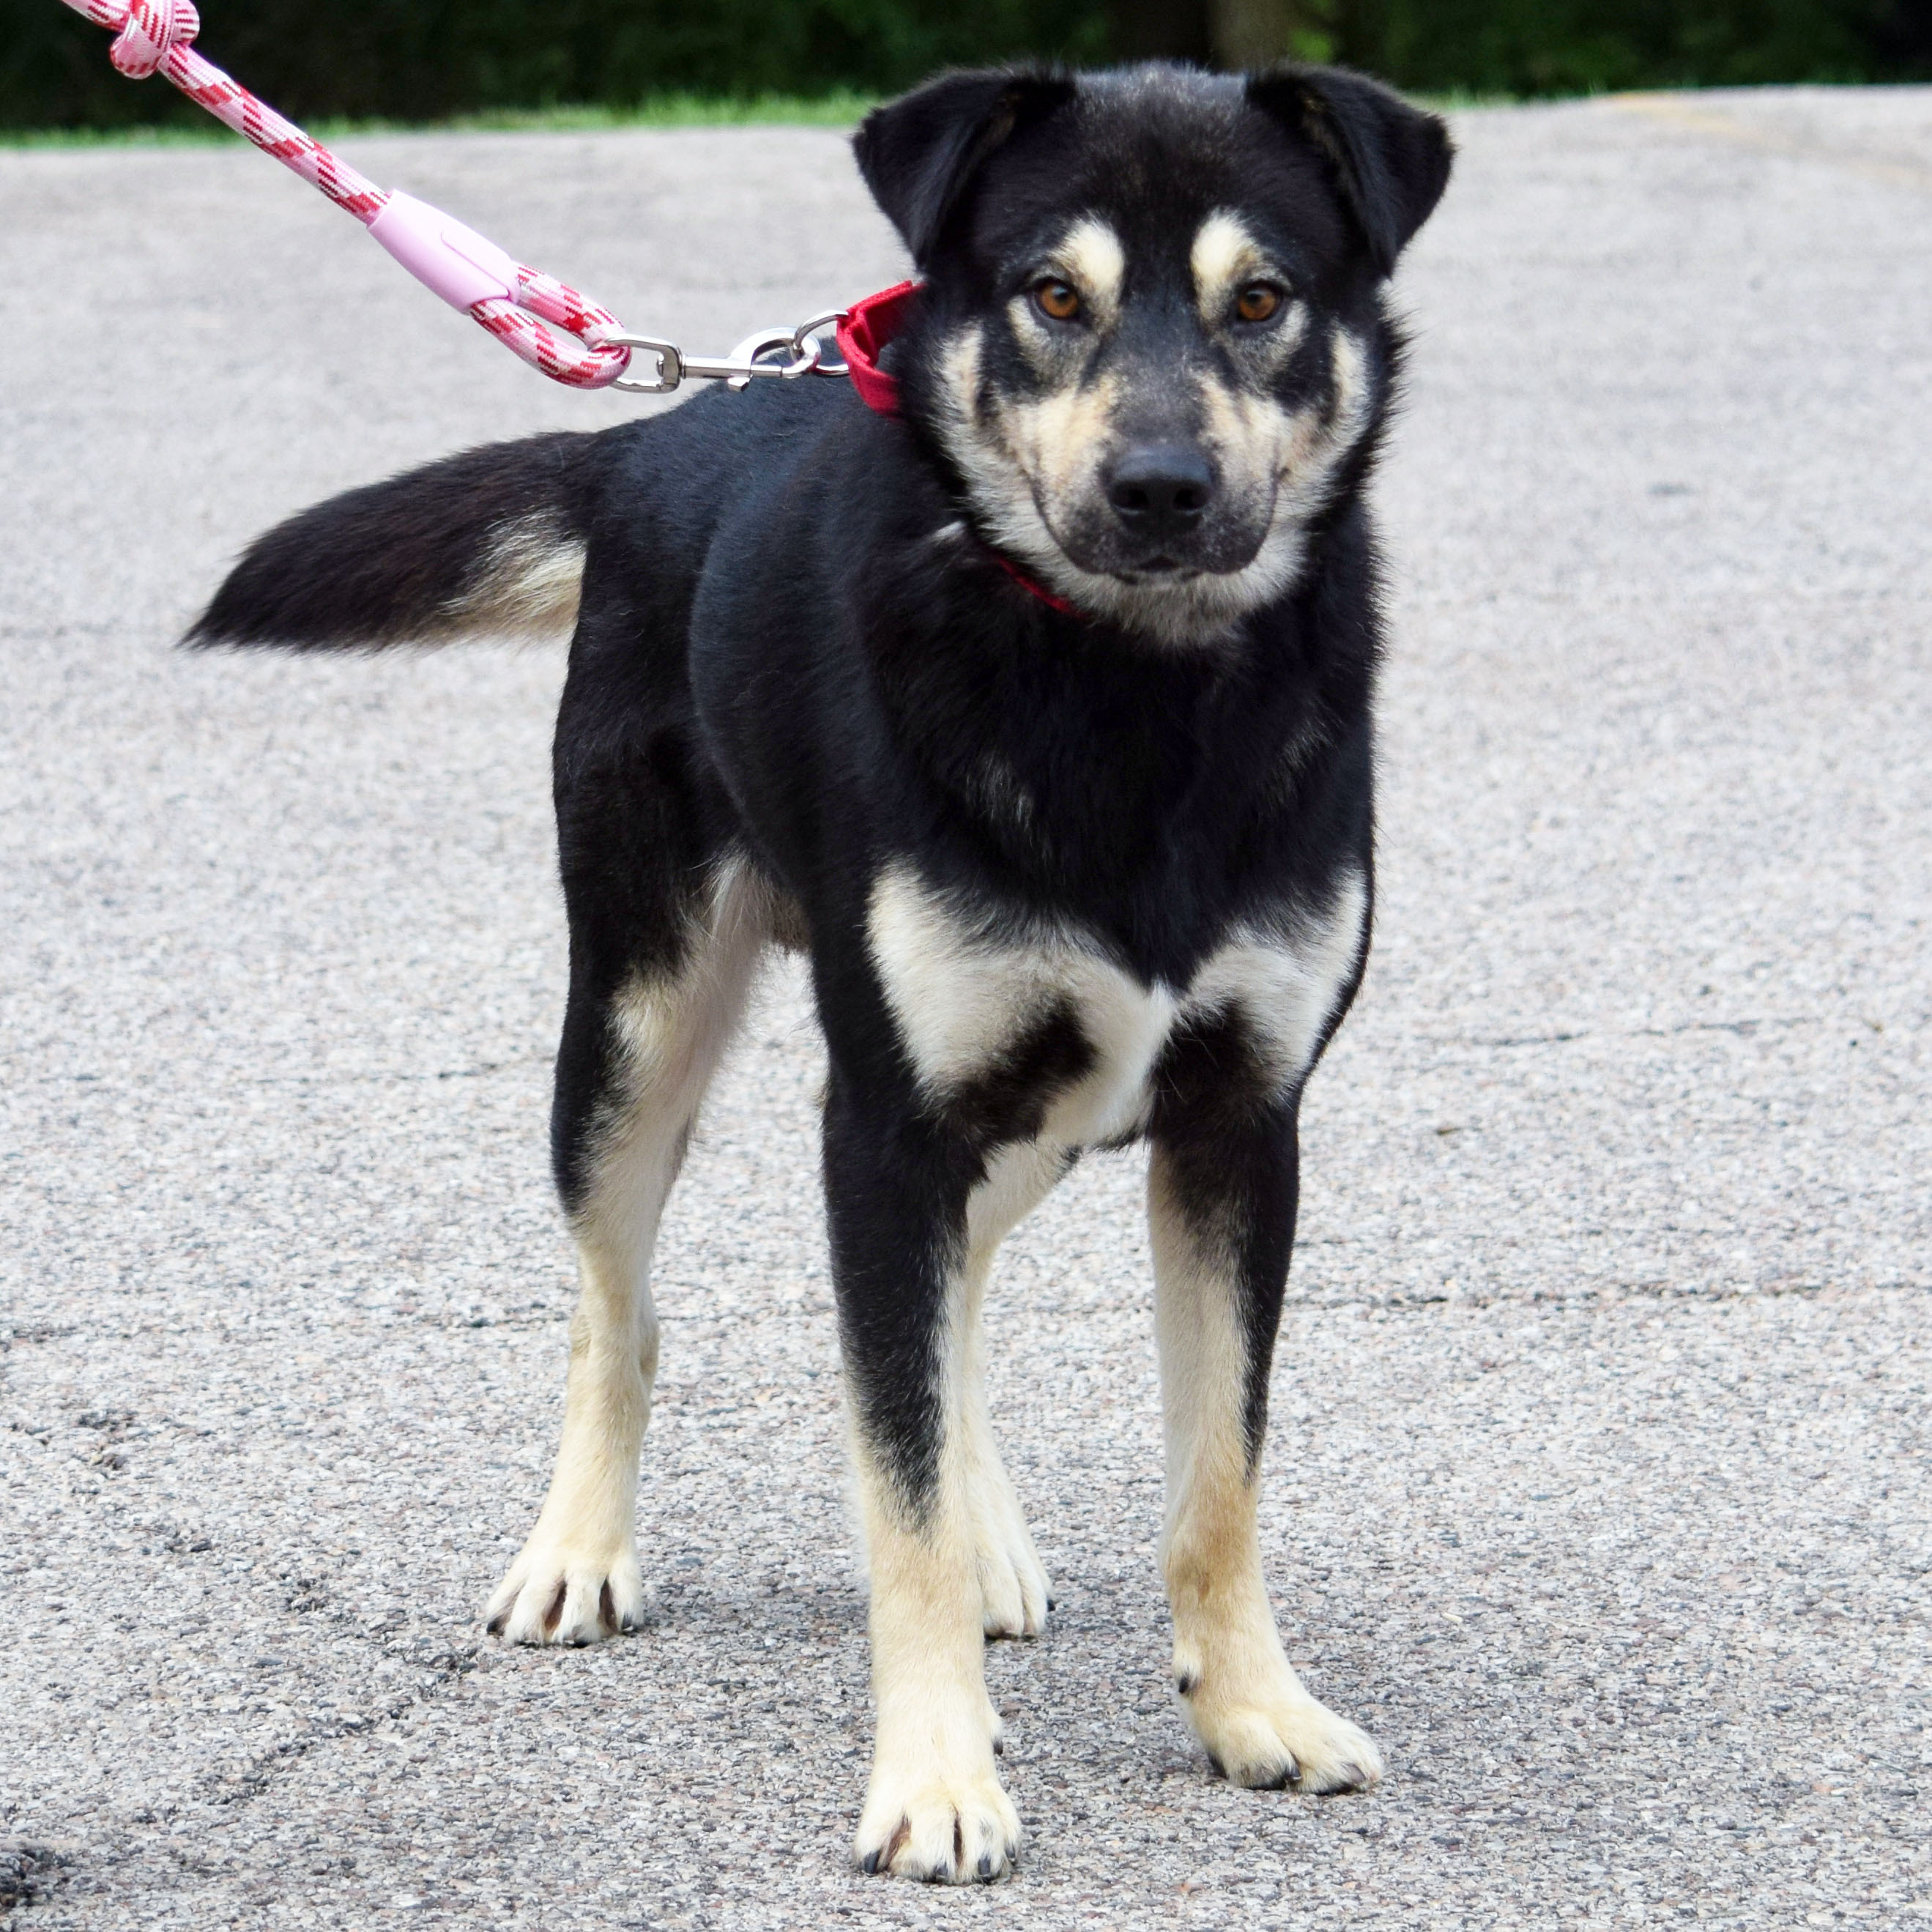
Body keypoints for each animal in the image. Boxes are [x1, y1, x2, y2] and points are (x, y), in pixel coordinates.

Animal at [192, 64, 1452, 1885]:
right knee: (621, 1310)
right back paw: (578, 1547)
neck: (1126, 694)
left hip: (1034, 1089)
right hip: (637, 1024)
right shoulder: (888, 1122)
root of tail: (660, 430)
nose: (1157, 487)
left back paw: (995, 1534)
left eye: (1260, 299)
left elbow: (1214, 1471)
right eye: (1050, 296)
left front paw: (1249, 1708)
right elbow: (889, 1483)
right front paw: (934, 1775)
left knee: (956, 1292)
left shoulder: (1235, 1122)